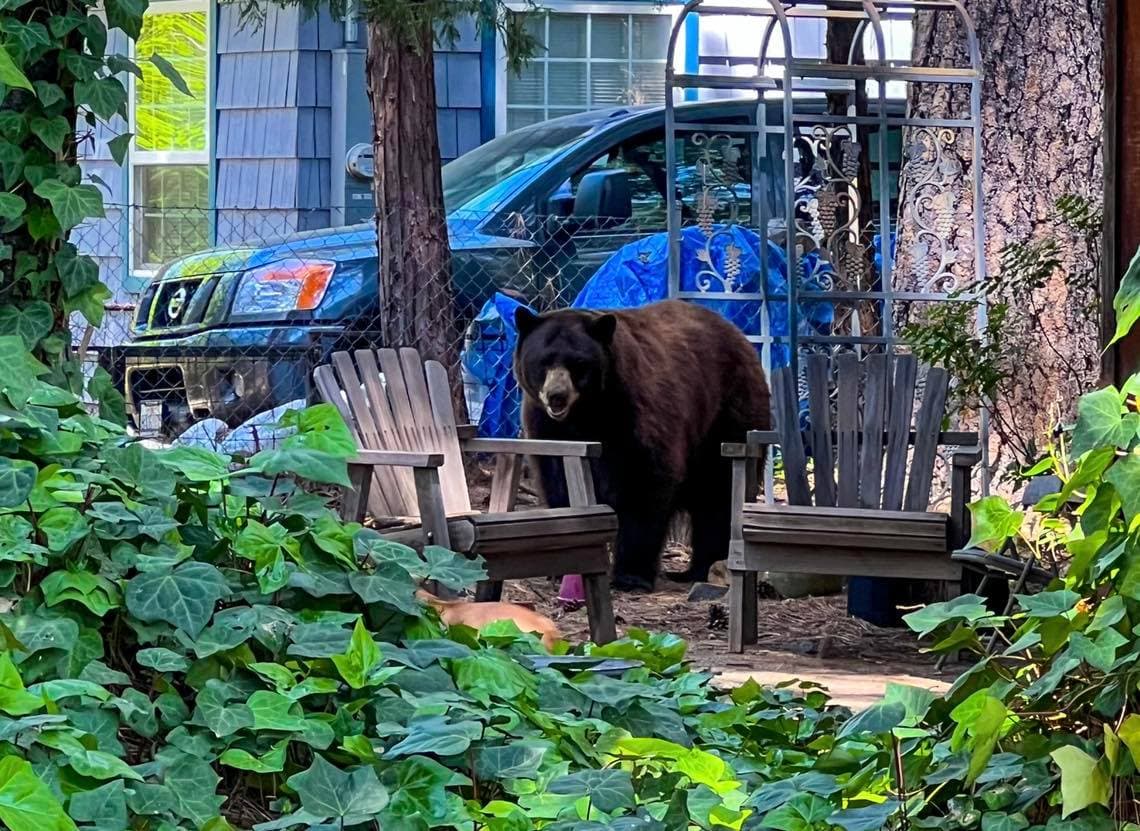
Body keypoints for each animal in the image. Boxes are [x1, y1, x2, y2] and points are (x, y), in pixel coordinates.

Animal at [513, 299, 771, 592]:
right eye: (543, 361)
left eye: (578, 363)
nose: (557, 395)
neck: (587, 414)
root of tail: (741, 338)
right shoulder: (546, 427)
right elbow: (558, 481)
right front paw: (564, 567)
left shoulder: (635, 412)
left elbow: (644, 482)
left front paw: (631, 576)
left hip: (726, 416)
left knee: (718, 493)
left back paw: (705, 566)